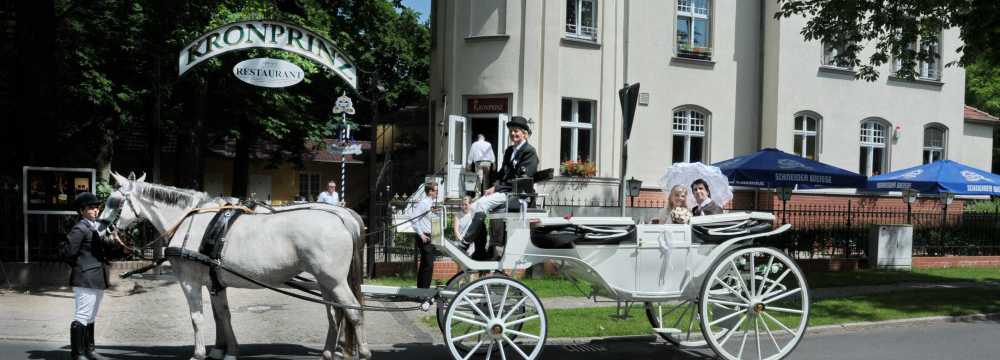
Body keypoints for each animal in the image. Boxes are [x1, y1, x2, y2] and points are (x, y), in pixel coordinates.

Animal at [100, 173, 372, 358]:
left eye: (113, 201)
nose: (101, 231)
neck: (190, 219)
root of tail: (342, 218)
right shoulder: (215, 282)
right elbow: (222, 315)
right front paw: (228, 349)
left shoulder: (189, 281)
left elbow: (197, 317)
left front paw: (199, 353)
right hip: (326, 281)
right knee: (335, 312)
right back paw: (328, 351)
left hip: (334, 281)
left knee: (354, 311)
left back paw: (363, 352)